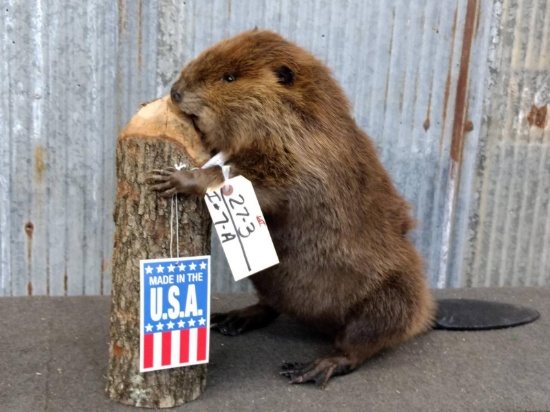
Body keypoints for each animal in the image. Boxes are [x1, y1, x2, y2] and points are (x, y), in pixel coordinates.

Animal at [149, 30, 438, 388]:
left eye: (229, 77)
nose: (176, 92)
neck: (301, 118)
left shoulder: (306, 159)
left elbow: (256, 183)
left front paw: (176, 178)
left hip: (393, 293)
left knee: (362, 342)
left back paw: (315, 366)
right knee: (272, 306)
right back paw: (232, 319)